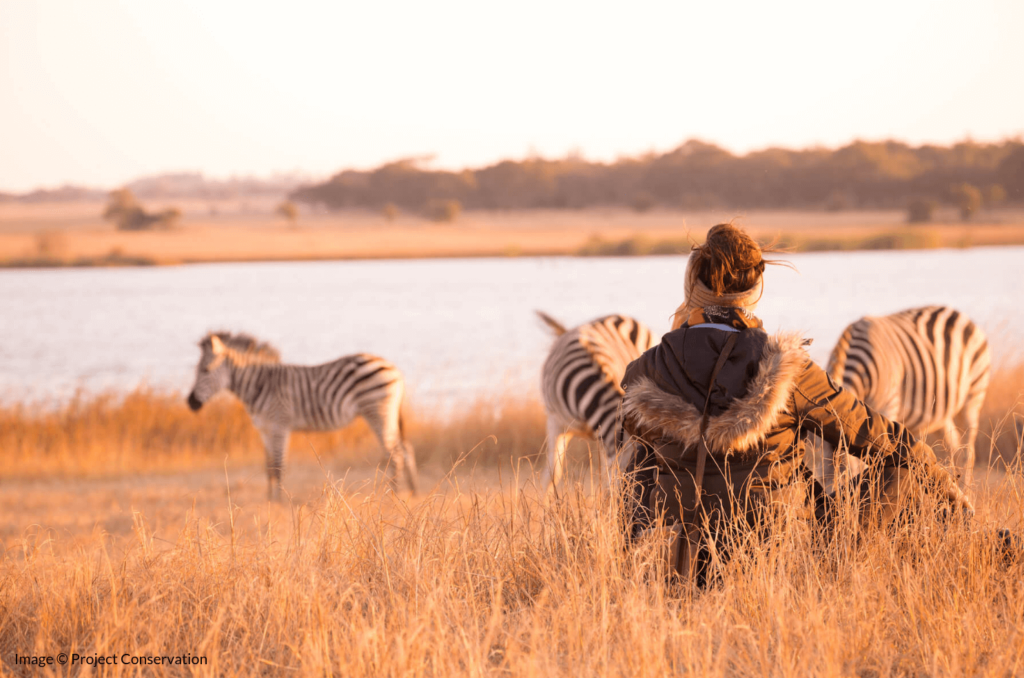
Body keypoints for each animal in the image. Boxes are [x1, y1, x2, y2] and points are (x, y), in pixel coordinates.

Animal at [188, 331, 415, 501]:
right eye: (196, 369)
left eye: (205, 370)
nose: (190, 402)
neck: (259, 385)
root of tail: (394, 368)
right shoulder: (264, 429)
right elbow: (268, 466)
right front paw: (269, 499)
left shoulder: (279, 425)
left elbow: (279, 466)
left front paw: (278, 501)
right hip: (387, 414)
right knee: (406, 449)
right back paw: (412, 491)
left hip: (377, 412)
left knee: (395, 454)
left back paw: (394, 495)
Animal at [823, 307, 991, 489]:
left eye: (845, 481)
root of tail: (956, 312)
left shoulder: (888, 406)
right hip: (942, 413)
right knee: (954, 447)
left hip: (974, 394)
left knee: (968, 450)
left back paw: (966, 489)